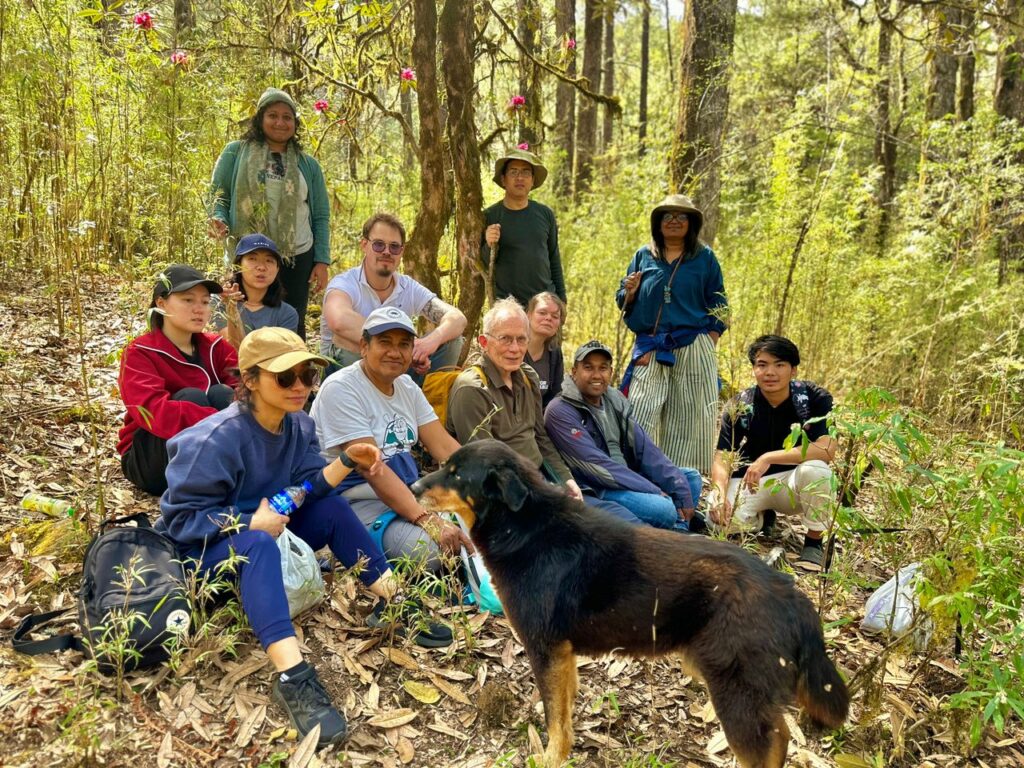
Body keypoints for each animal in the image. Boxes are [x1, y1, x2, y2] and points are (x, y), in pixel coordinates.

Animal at [411, 442, 851, 765]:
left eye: (456, 474)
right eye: (445, 467)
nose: (413, 488)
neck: (524, 527)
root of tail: (790, 592)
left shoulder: (545, 650)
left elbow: (554, 719)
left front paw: (550, 757)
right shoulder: (563, 655)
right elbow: (563, 714)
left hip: (735, 692)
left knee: (769, 745)